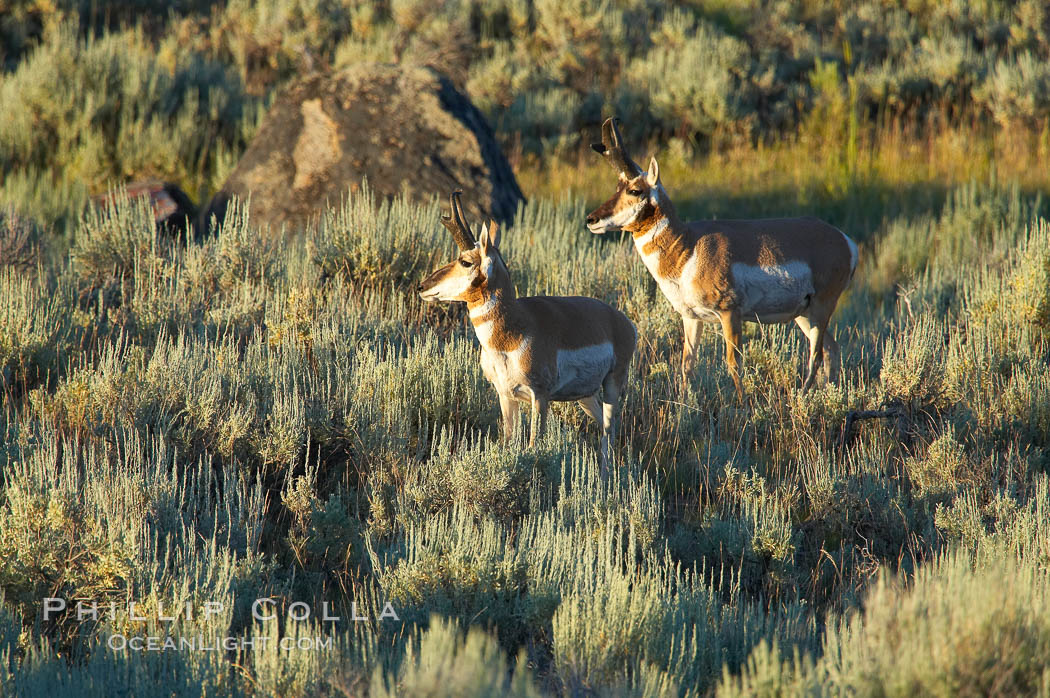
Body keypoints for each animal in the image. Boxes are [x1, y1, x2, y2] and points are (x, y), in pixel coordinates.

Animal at [419, 192, 637, 467]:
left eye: (465, 261)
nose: (422, 286)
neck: (513, 331)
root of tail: (622, 321)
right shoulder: (506, 396)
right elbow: (509, 441)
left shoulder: (540, 396)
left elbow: (534, 444)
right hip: (585, 397)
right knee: (605, 429)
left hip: (612, 384)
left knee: (610, 433)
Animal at [586, 118, 858, 397]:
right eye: (616, 187)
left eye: (635, 190)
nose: (591, 219)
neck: (688, 247)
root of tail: (842, 238)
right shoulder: (691, 318)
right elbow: (687, 364)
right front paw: (684, 402)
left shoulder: (730, 313)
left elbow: (733, 363)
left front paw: (742, 404)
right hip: (804, 313)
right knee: (831, 349)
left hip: (821, 306)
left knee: (816, 356)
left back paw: (803, 396)